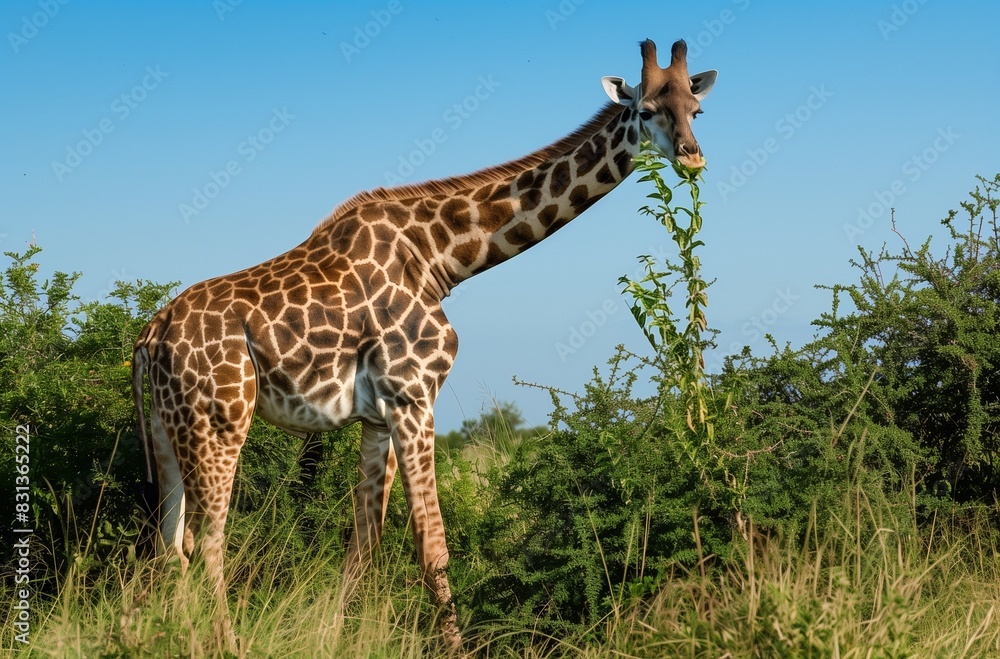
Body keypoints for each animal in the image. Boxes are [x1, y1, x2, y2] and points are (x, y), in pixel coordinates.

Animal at [132, 38, 716, 652]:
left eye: (696, 111)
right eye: (646, 110)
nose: (692, 156)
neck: (441, 257)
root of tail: (149, 337)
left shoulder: (378, 414)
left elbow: (363, 544)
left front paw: (335, 639)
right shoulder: (414, 396)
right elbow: (432, 546)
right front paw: (455, 649)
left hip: (168, 431)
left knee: (169, 545)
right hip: (220, 423)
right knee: (207, 542)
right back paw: (226, 642)